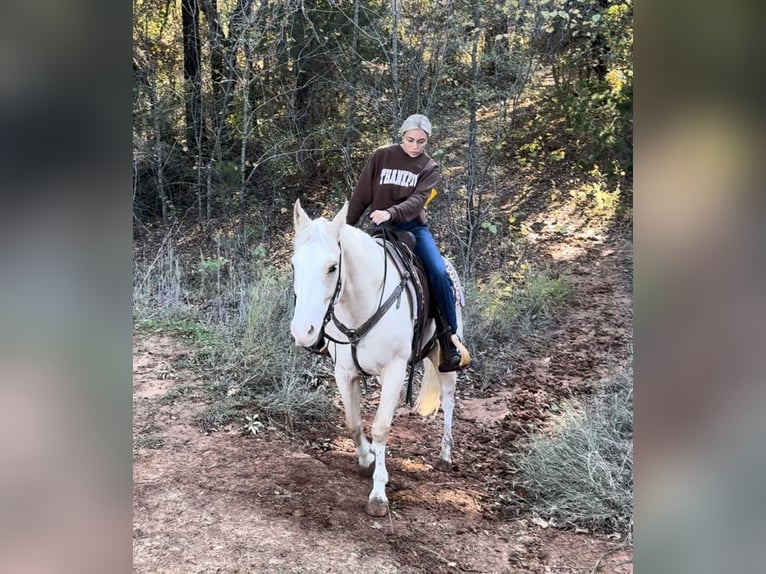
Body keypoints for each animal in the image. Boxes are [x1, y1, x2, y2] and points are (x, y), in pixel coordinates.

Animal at [290, 200, 464, 520]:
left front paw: (378, 494)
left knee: (448, 400)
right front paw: (366, 458)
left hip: (444, 356)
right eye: (295, 265)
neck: (361, 304)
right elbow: (353, 422)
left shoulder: (395, 370)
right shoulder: (344, 372)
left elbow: (381, 427)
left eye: (333, 267)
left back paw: (445, 454)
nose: (303, 332)